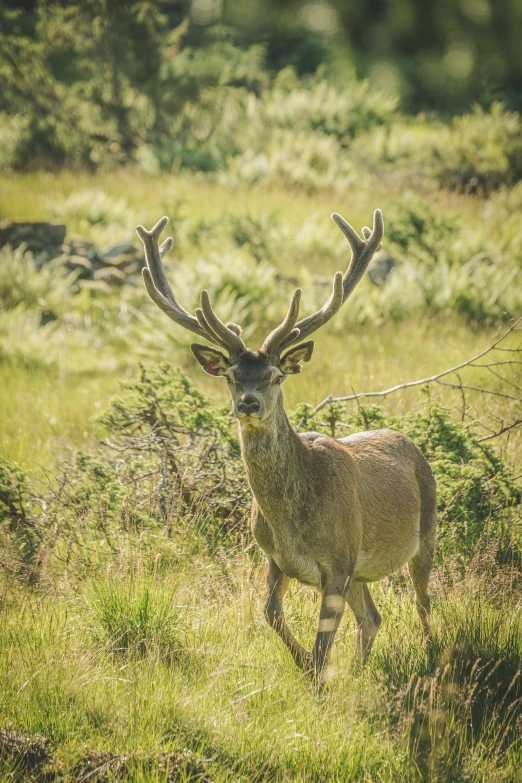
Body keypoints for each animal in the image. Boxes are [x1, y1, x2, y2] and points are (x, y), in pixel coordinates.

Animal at [135, 211, 434, 688]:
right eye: (231, 375)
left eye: (275, 376)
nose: (248, 403)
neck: (293, 520)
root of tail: (411, 443)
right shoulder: (275, 557)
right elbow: (271, 613)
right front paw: (310, 669)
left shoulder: (338, 561)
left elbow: (322, 638)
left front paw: (318, 681)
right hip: (362, 571)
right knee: (372, 618)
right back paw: (357, 672)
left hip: (427, 534)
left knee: (424, 604)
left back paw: (432, 657)